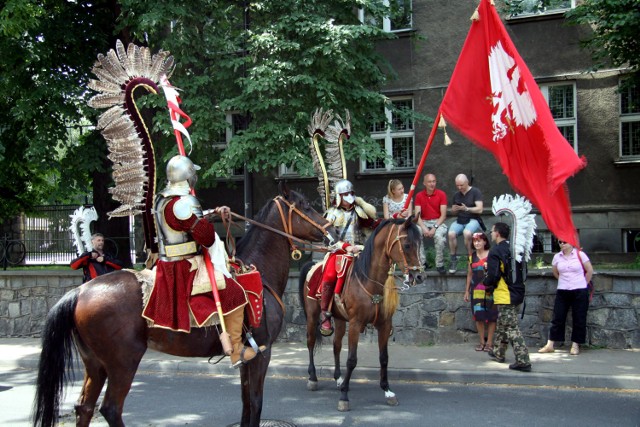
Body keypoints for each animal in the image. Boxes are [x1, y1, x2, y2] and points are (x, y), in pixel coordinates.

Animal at [32, 186, 338, 427]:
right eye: (306, 206)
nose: (332, 229)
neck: (260, 272)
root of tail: (81, 291)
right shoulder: (262, 353)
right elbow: (256, 403)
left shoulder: (246, 356)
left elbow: (245, 403)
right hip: (122, 363)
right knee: (110, 409)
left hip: (95, 364)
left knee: (84, 407)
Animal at [300, 219, 424, 412]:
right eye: (407, 245)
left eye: (419, 244)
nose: (418, 276)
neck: (369, 281)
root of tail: (313, 266)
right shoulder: (356, 324)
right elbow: (352, 359)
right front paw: (344, 396)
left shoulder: (384, 325)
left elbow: (384, 358)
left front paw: (387, 391)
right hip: (313, 315)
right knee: (311, 342)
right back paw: (313, 378)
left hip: (340, 319)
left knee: (336, 345)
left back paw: (338, 378)